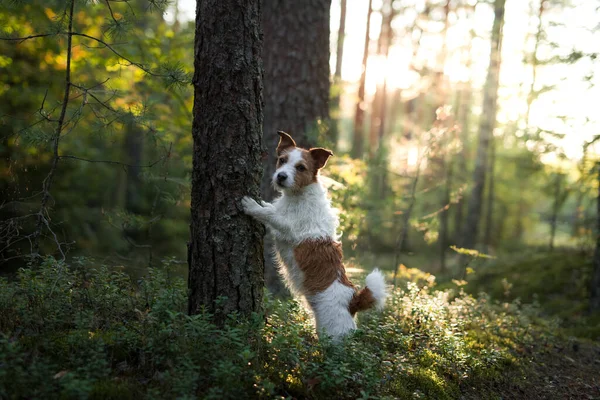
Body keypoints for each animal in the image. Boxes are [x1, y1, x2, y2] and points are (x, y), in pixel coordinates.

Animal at [241, 131, 386, 340]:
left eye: (301, 167)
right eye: (282, 160)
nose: (281, 176)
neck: (298, 195)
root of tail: (353, 300)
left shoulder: (289, 226)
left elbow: (270, 214)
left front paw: (252, 206)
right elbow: (271, 209)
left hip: (333, 334)